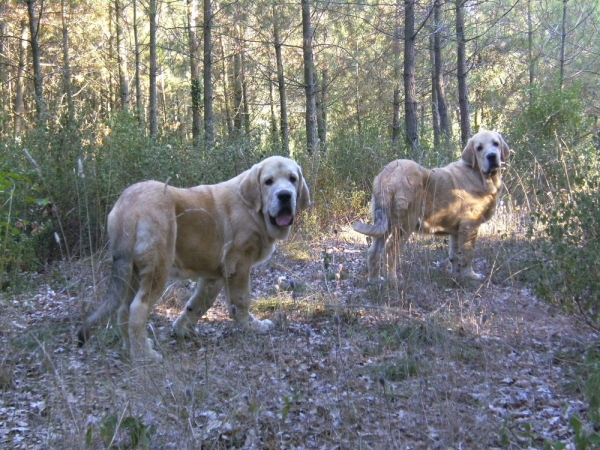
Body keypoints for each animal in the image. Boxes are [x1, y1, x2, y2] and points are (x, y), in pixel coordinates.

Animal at [78, 156, 312, 360]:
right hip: (157, 269)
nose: (285, 195)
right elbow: (241, 301)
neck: (254, 210)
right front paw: (253, 327)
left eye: (293, 179)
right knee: (138, 309)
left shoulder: (215, 274)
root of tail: (128, 203)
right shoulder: (239, 265)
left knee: (123, 310)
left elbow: (199, 303)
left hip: (132, 272)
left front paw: (182, 330)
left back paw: (131, 347)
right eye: (268, 182)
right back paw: (144, 355)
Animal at [354, 130, 512, 284]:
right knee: (390, 250)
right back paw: (393, 281)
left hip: (385, 223)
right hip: (405, 225)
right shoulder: (469, 227)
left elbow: (455, 255)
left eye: (496, 144)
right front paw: (471, 276)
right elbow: (468, 253)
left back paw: (374, 280)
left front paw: (457, 275)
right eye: (479, 148)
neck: (480, 175)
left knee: (374, 251)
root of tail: (388, 174)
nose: (492, 156)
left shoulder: (456, 231)